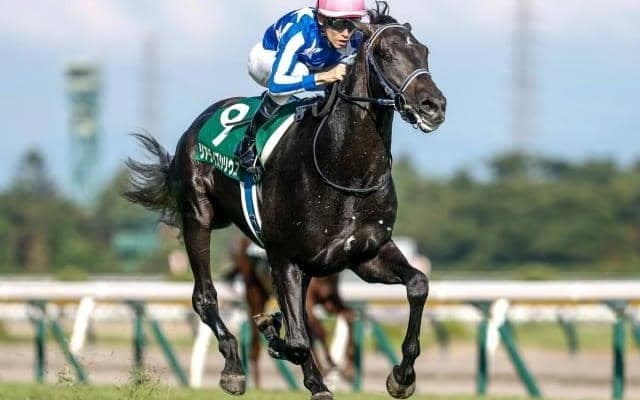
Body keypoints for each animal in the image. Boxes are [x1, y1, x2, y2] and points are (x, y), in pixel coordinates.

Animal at [227, 234, 356, 387]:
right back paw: (257, 385)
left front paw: (348, 369)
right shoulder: (308, 303)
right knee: (255, 344)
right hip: (254, 291)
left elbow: (348, 316)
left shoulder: (329, 299)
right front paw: (331, 366)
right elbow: (320, 331)